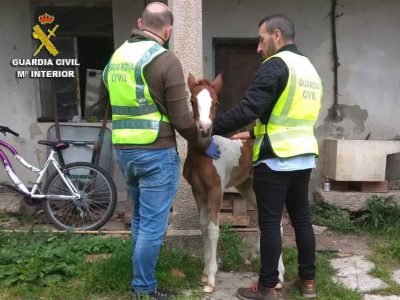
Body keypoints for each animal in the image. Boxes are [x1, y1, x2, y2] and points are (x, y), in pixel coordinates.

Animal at [184, 74, 284, 294]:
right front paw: (204, 273)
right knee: (264, 220)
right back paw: (253, 256)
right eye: (192, 101)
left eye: (215, 102)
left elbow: (213, 230)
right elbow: (203, 227)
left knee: (279, 223)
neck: (204, 154)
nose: (204, 129)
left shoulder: (216, 190)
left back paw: (280, 276)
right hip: (246, 187)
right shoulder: (198, 191)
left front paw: (211, 280)